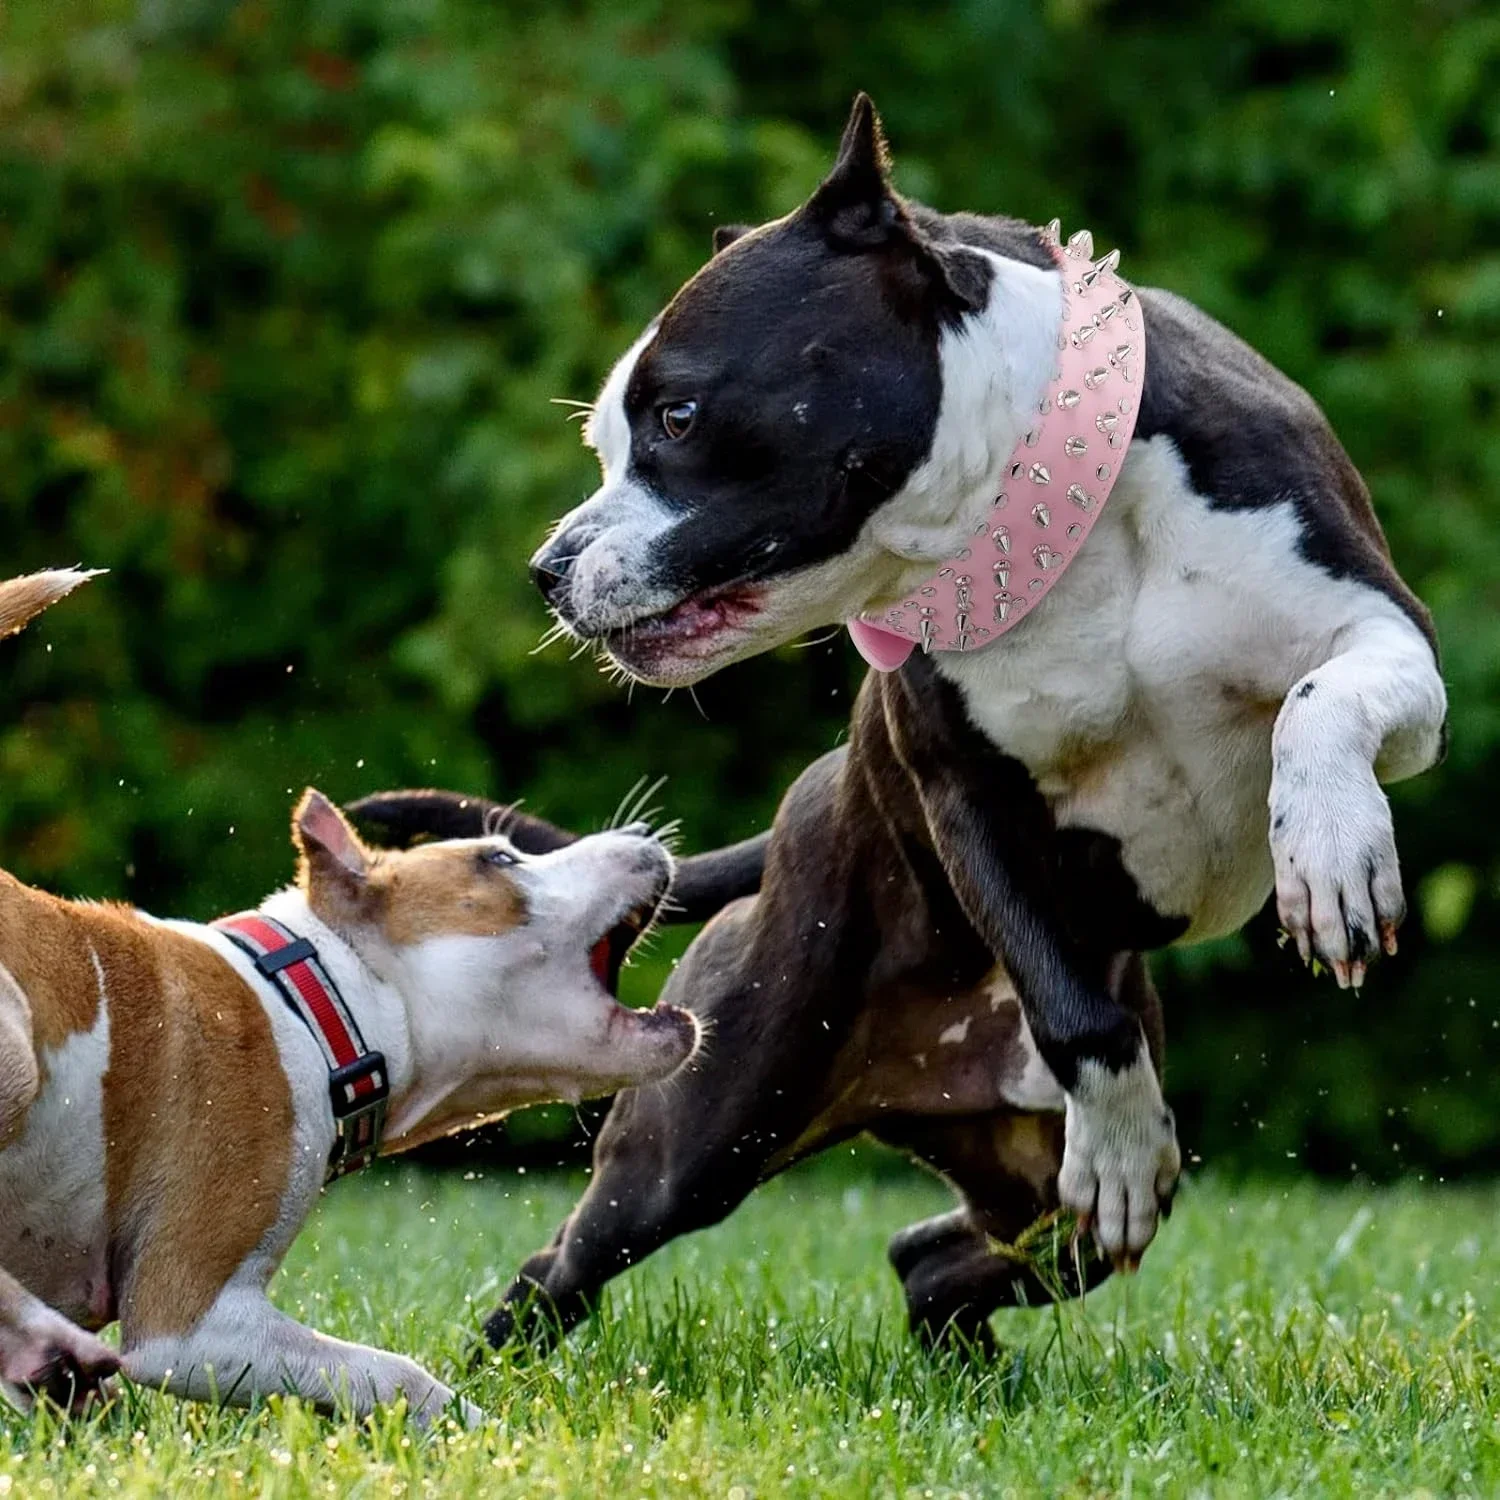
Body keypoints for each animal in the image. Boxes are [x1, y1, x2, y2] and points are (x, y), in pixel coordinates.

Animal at [0, 567, 699, 1422]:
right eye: (499, 859)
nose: (645, 838)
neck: (309, 1003)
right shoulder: (192, 1325)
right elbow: (395, 1374)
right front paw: (483, 1432)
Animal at [360, 96, 1440, 1350]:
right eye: (608, 444)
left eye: (678, 414)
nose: (547, 568)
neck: (1054, 517)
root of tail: (798, 813)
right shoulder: (964, 793)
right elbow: (1074, 1013)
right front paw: (1122, 1141)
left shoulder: (1386, 634)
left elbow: (1321, 701)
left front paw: (1331, 853)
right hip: (707, 1125)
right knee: (569, 1261)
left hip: (1028, 1194)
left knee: (936, 1256)